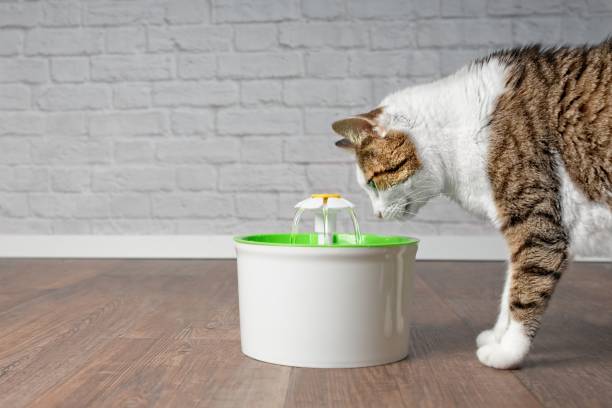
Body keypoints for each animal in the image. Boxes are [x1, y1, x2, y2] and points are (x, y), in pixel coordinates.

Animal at [332, 39, 608, 370]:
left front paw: (508, 351)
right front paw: (497, 336)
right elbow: (509, 288)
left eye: (373, 183)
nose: (378, 214)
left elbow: (526, 287)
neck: (457, 132)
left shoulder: (536, 225)